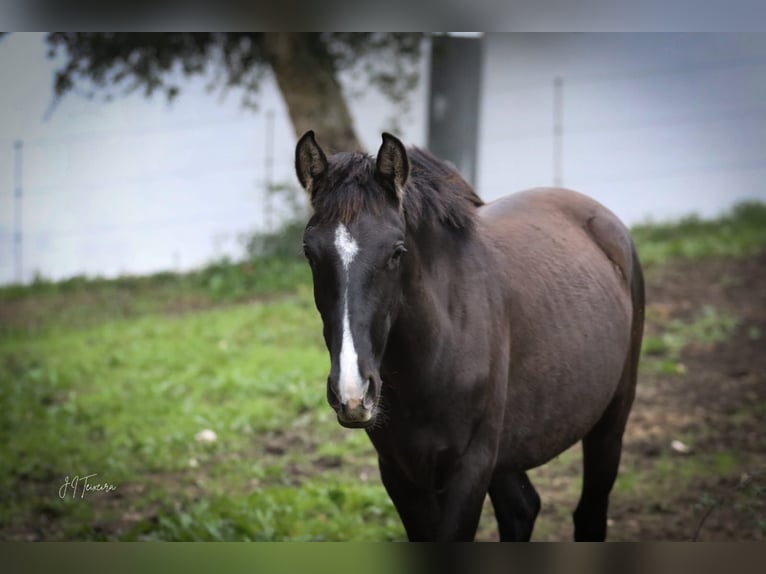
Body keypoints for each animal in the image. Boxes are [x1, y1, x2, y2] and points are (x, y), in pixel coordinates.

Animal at [296, 132, 644, 544]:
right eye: (309, 252)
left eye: (397, 251)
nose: (352, 393)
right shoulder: (401, 473)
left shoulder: (469, 470)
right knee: (521, 509)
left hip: (610, 422)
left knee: (588, 513)